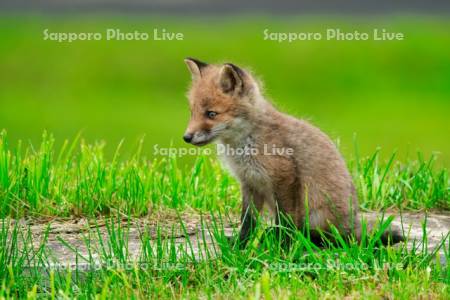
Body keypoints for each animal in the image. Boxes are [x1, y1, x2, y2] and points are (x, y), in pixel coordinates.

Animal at [183, 57, 404, 247]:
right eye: (192, 113)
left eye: (211, 114)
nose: (186, 137)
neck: (245, 144)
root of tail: (350, 223)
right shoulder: (250, 182)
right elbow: (248, 221)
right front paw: (240, 244)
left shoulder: (284, 176)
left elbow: (286, 218)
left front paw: (284, 245)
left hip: (318, 212)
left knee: (328, 237)